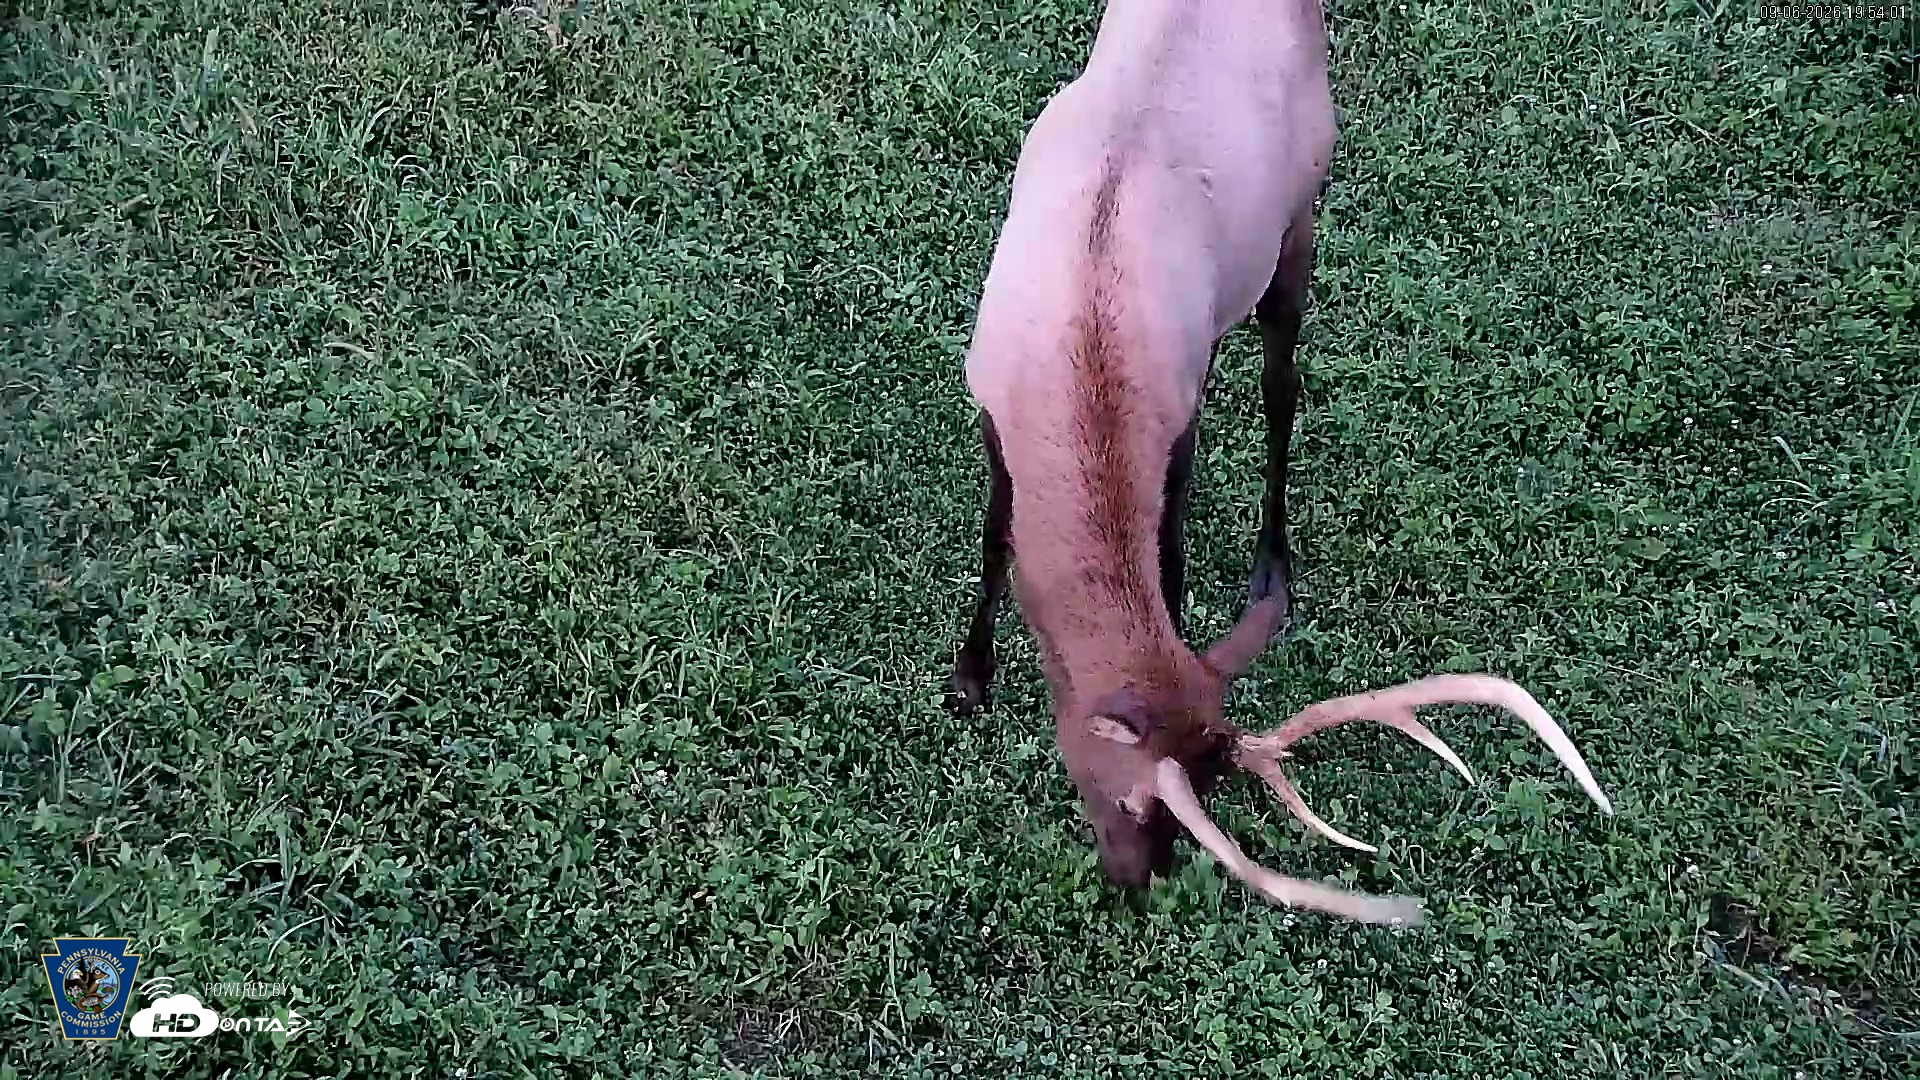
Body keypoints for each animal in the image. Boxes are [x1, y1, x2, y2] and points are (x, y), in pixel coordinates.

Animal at [944, 0, 1612, 925]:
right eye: (1133, 797)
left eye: (1202, 798)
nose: (1139, 884)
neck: (1076, 367)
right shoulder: (985, 396)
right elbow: (993, 537)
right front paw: (969, 679)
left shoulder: (1180, 413)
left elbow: (1169, 551)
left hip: (1302, 210)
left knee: (1282, 384)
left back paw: (1275, 553)